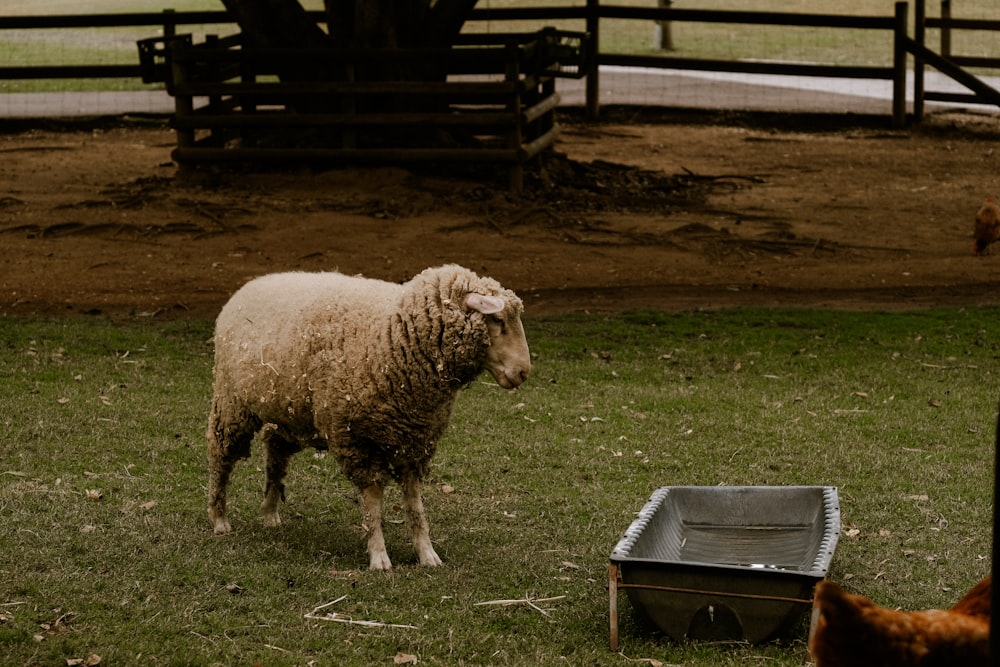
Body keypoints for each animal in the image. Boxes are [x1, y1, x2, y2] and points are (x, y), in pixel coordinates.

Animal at [204, 264, 532, 572]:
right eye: (498, 320)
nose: (523, 372)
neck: (394, 333)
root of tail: (253, 283)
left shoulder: (414, 441)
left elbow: (415, 503)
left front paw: (426, 553)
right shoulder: (357, 440)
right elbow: (373, 503)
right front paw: (379, 555)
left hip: (285, 413)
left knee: (275, 453)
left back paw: (270, 512)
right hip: (231, 404)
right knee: (221, 457)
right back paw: (219, 518)